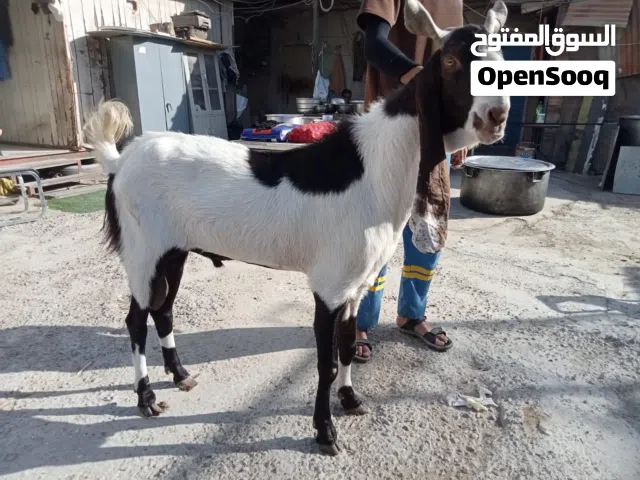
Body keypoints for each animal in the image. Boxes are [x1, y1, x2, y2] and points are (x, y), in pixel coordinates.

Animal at [84, 0, 510, 455]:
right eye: (450, 61)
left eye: (502, 60)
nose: (496, 116)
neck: (373, 168)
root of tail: (121, 160)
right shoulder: (329, 285)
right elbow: (325, 364)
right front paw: (325, 432)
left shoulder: (355, 285)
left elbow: (346, 348)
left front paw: (350, 400)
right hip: (143, 249)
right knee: (137, 317)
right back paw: (146, 397)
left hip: (174, 250)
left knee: (163, 309)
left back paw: (180, 375)